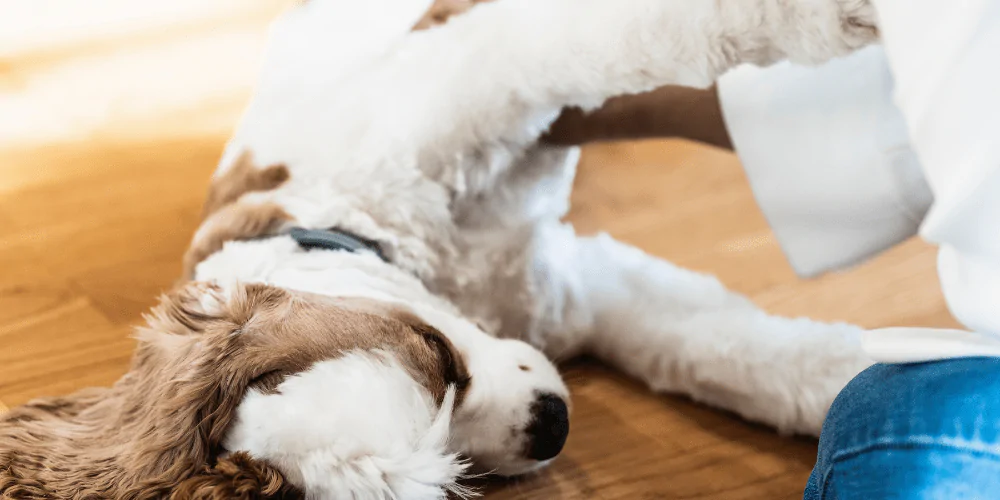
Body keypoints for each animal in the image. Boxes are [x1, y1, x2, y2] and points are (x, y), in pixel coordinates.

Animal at [0, 0, 880, 498]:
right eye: (458, 475)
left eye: (435, 357)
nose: (552, 426)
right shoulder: (579, 293)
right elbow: (754, 359)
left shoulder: (470, 71)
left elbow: (629, 32)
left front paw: (833, 18)